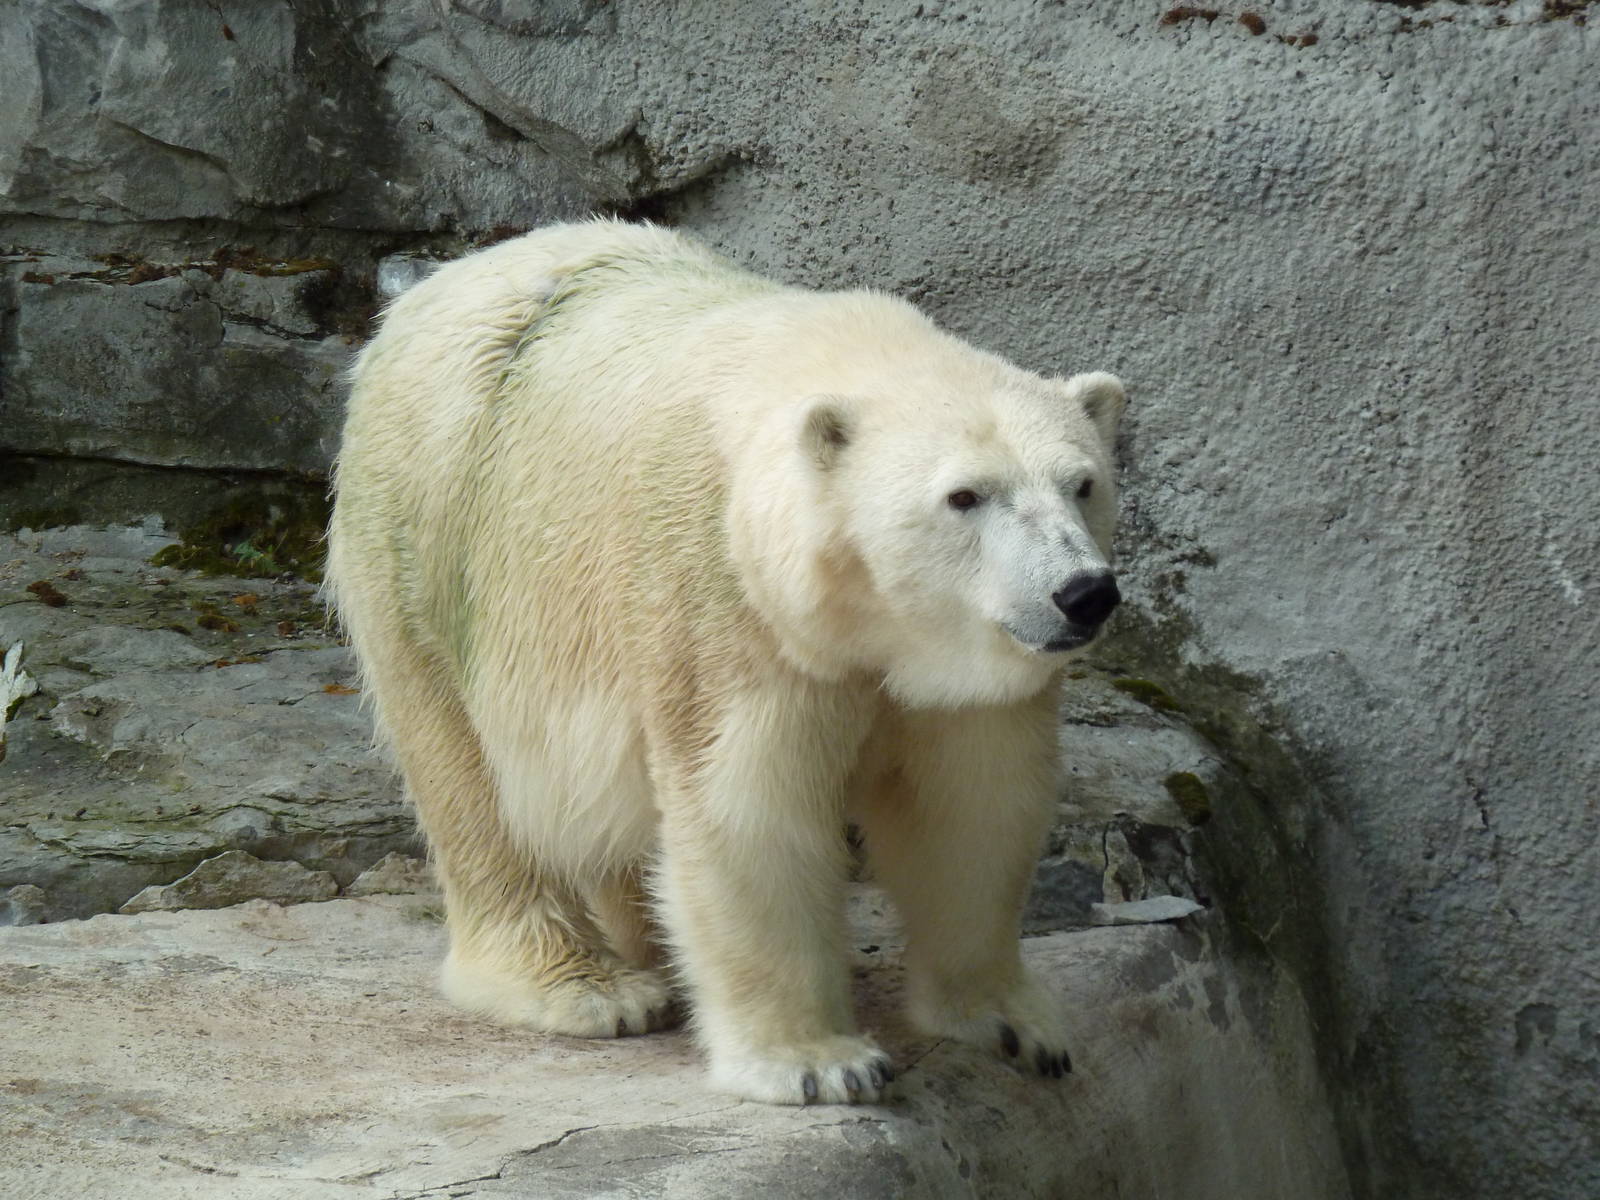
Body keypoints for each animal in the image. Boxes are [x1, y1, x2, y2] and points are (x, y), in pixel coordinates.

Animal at [325, 220, 1126, 1105]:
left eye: (1083, 483)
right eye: (965, 496)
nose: (1083, 593)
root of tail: (432, 289)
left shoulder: (949, 671)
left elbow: (971, 805)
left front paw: (1015, 1026)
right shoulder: (723, 598)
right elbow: (749, 806)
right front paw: (818, 1063)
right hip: (431, 535)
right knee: (469, 777)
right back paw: (586, 986)